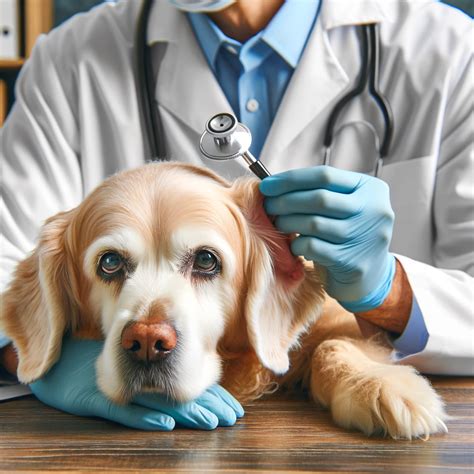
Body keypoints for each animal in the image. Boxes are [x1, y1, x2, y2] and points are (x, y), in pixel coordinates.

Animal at [0, 161, 448, 438]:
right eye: (109, 263)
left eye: (205, 260)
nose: (146, 341)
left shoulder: (338, 322)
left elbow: (334, 345)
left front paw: (384, 387)